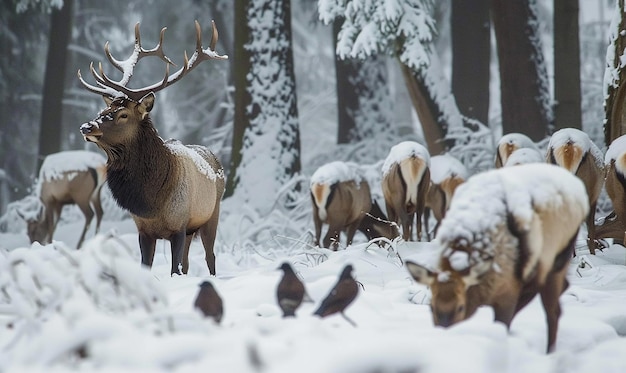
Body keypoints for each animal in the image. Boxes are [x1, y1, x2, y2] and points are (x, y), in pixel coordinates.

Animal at [77, 21, 225, 276]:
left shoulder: (178, 225)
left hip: (210, 215)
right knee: (187, 262)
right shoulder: (143, 230)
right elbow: (147, 265)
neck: (151, 203)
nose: (87, 126)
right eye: (103, 111)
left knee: (210, 257)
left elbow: (175, 268)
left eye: (123, 115)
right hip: (192, 229)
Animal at [408, 163, 588, 352]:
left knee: (553, 311)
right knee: (560, 288)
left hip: (558, 257)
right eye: (431, 307)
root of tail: (581, 193)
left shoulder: (508, 292)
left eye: (460, 307)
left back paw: (549, 351)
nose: (444, 337)